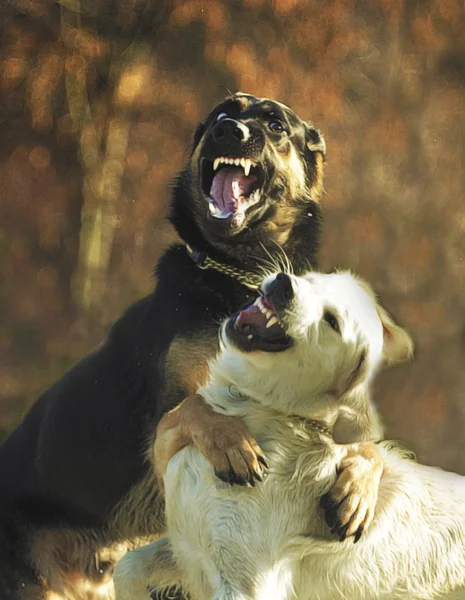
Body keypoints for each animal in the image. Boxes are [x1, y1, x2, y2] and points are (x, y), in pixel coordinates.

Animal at [0, 95, 380, 600]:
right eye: (223, 112)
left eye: (275, 125)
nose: (229, 131)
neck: (240, 275)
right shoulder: (165, 431)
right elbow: (196, 406)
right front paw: (233, 443)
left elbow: (370, 447)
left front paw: (357, 490)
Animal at [112, 272, 464, 600]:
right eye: (314, 278)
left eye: (332, 321)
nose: (284, 284)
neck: (271, 413)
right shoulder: (186, 549)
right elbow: (126, 567)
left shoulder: (243, 586)